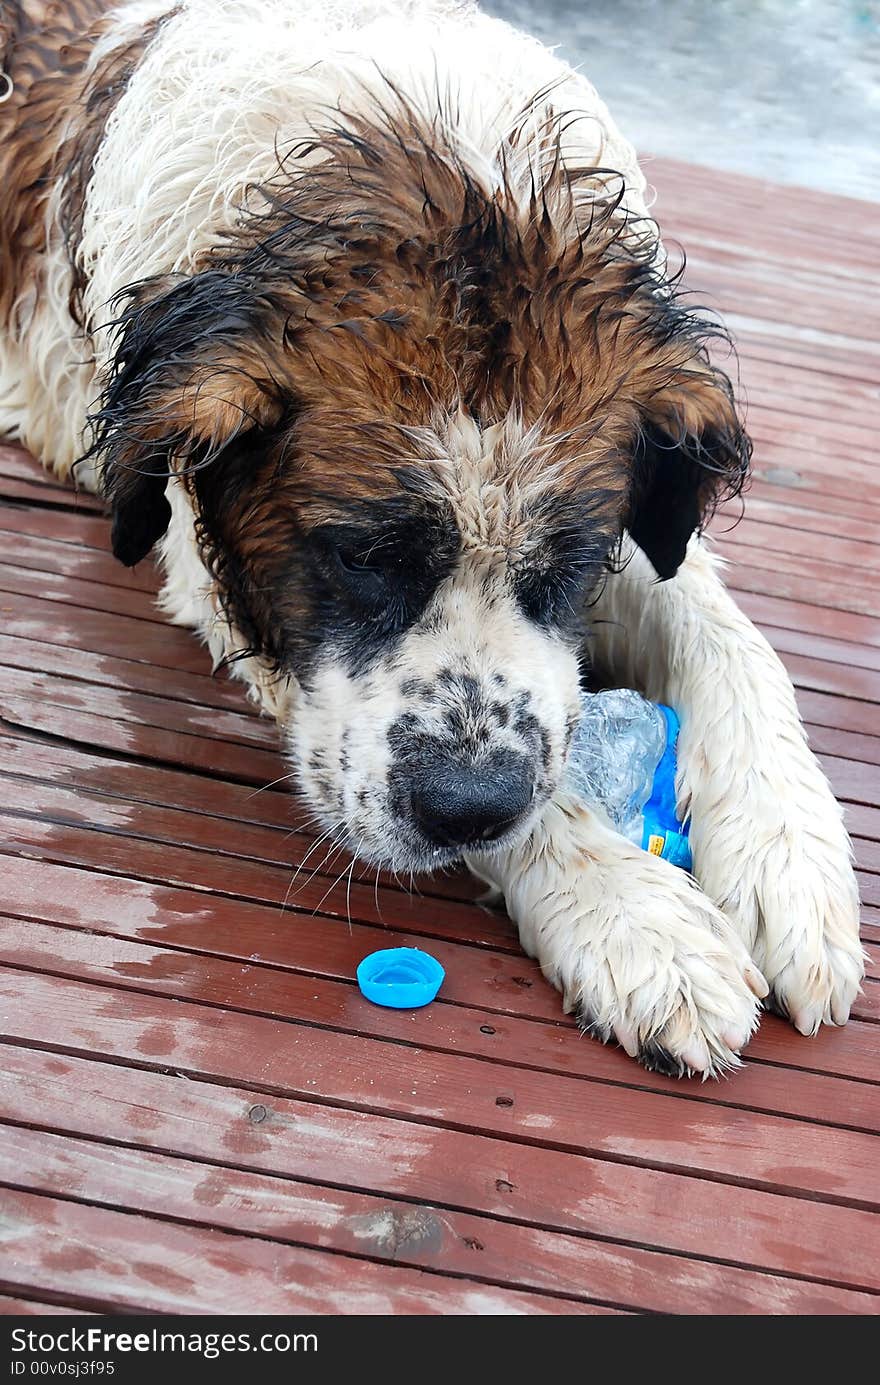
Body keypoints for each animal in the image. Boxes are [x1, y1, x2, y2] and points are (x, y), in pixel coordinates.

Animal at [1, 0, 870, 1074]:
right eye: (360, 559)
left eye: (570, 562)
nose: (468, 805)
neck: (432, 156)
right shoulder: (207, 563)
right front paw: (634, 917)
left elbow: (728, 639)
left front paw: (789, 854)